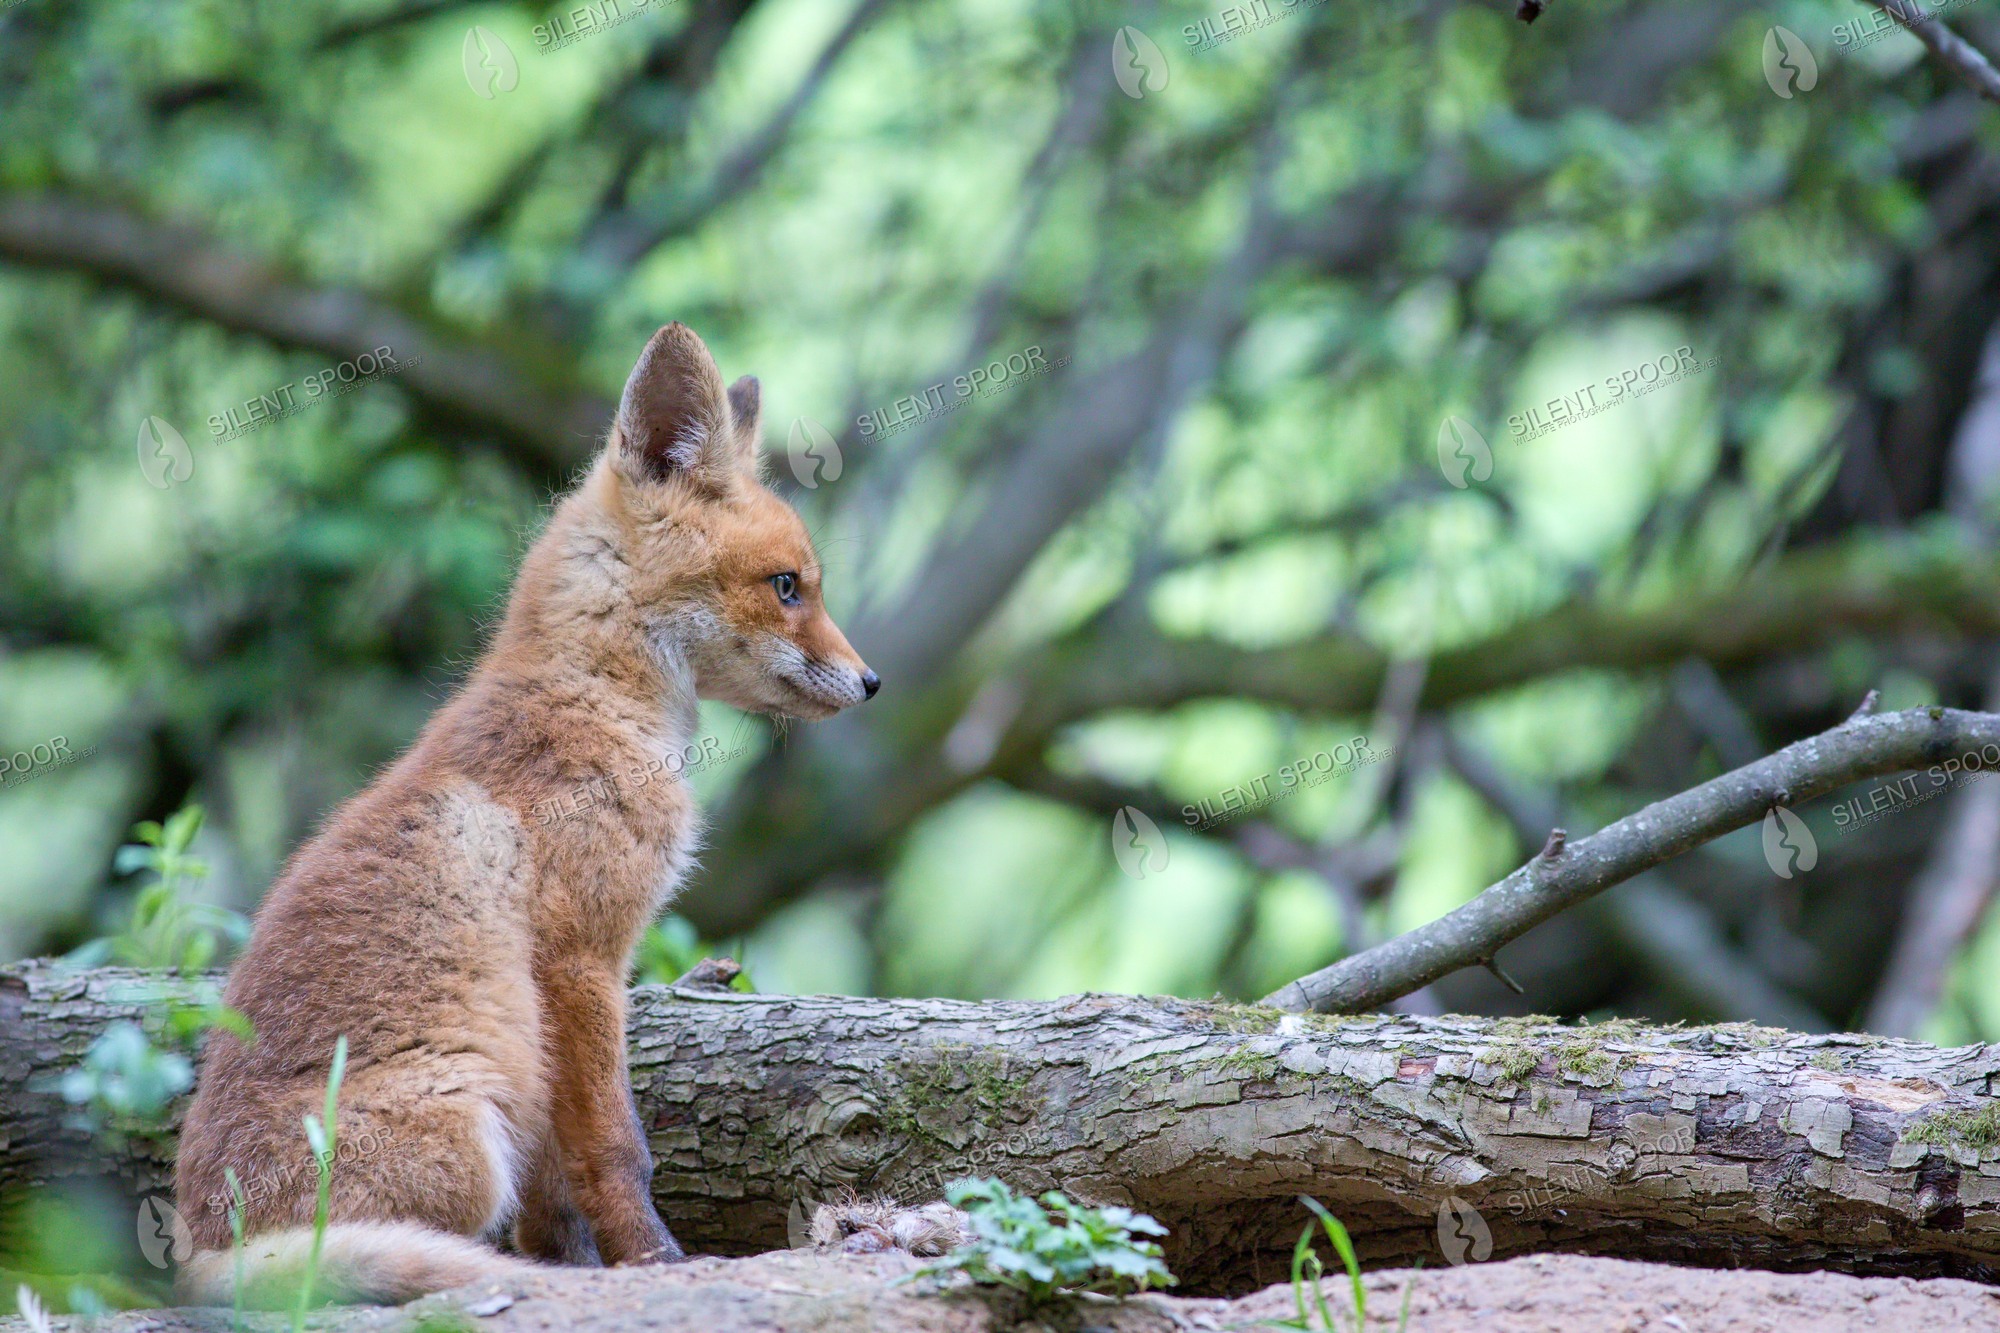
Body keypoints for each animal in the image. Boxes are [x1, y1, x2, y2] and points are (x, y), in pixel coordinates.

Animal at [172, 323, 878, 1306]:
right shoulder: (580, 956)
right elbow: (616, 1151)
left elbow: (557, 1190)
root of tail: (197, 1249)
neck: (597, 699)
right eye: (787, 586)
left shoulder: (558, 1009)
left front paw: (573, 1260)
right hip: (471, 1129)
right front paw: (652, 1260)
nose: (872, 681)